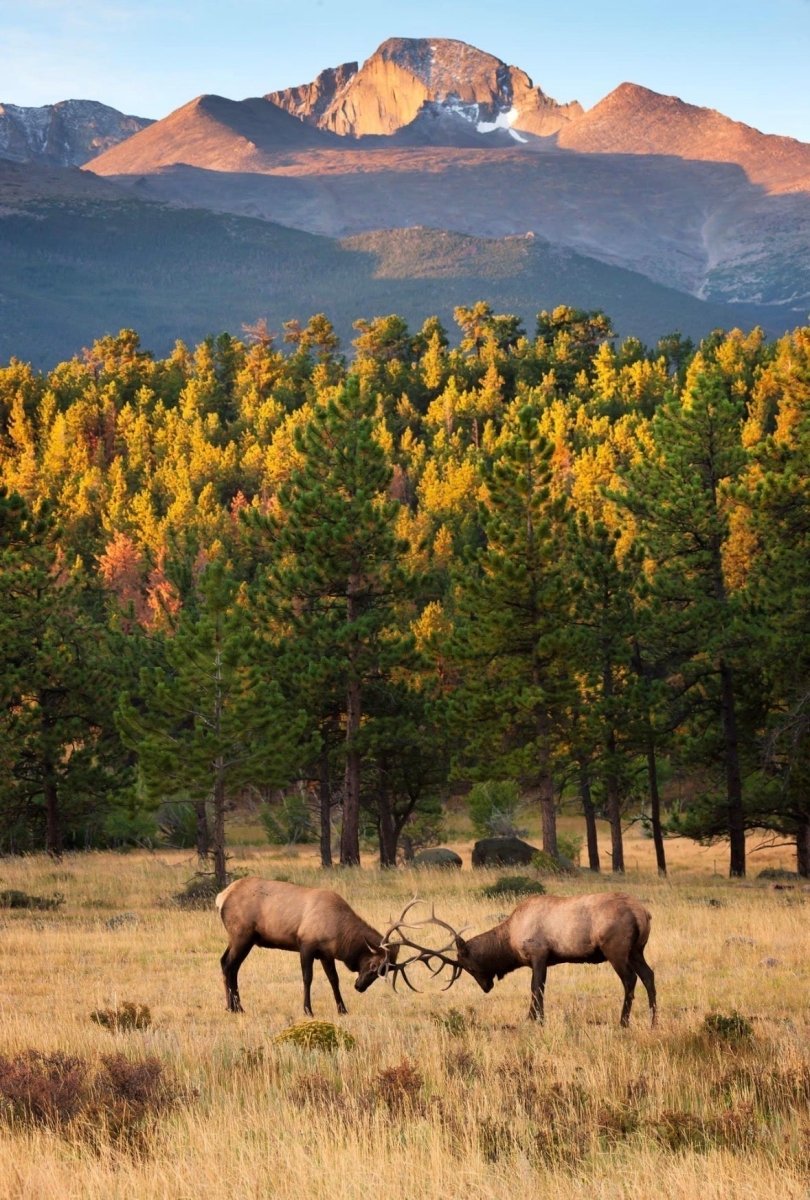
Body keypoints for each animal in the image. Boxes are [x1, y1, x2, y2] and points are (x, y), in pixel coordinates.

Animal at [216, 878, 423, 1016]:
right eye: (373, 966)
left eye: (385, 972)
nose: (359, 986)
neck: (339, 932)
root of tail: (221, 897)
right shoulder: (306, 945)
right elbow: (307, 978)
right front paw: (308, 1010)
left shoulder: (326, 953)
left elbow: (334, 979)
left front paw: (342, 1009)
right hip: (242, 936)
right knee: (229, 965)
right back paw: (235, 1007)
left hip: (239, 938)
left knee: (227, 964)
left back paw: (233, 1006)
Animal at [387, 892, 656, 1027]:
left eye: (468, 965)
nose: (486, 986)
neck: (510, 942)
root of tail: (642, 913)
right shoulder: (544, 958)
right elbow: (540, 988)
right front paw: (537, 1018)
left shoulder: (538, 953)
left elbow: (536, 988)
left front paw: (533, 1019)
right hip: (638, 950)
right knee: (649, 976)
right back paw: (654, 1020)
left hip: (616, 948)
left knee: (630, 979)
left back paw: (623, 1022)